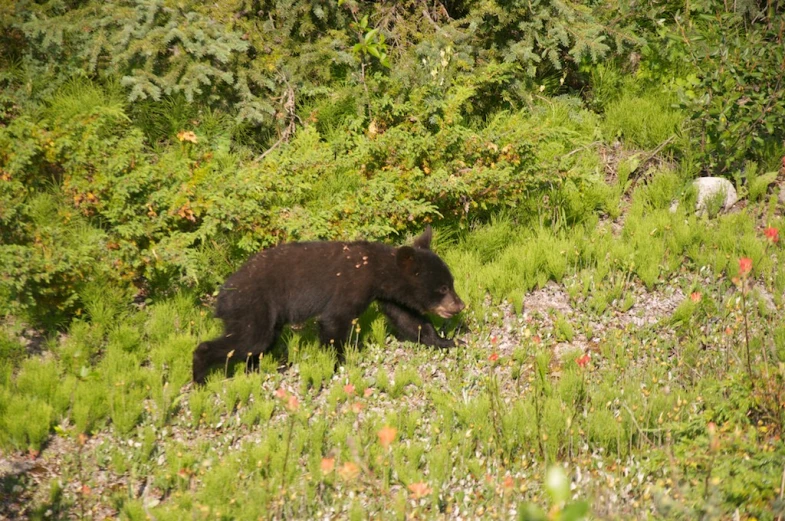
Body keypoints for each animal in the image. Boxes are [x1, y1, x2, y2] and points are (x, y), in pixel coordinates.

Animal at [194, 226, 466, 382]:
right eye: (443, 288)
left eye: (451, 282)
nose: (460, 305)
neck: (376, 270)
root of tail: (221, 297)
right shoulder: (351, 285)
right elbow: (334, 321)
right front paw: (338, 363)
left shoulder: (387, 295)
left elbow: (409, 319)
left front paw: (448, 341)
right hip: (252, 305)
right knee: (248, 341)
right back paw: (200, 377)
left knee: (258, 344)